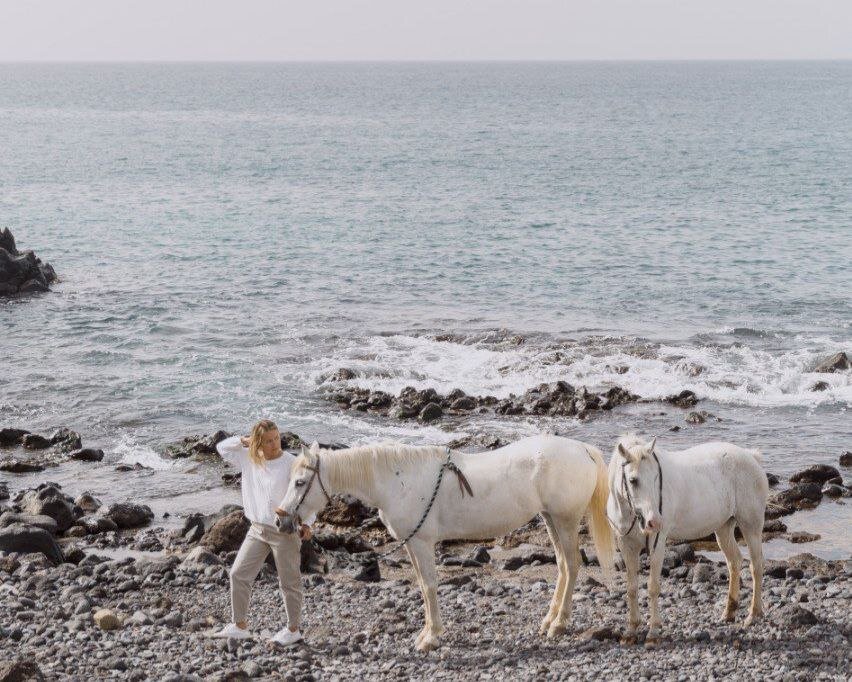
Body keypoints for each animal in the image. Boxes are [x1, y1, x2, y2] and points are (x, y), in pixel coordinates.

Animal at [276, 432, 616, 652]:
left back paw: (559, 624)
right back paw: (549, 621)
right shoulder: (412, 543)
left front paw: (431, 638)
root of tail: (583, 449)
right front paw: (427, 633)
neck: (397, 479)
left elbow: (429, 586)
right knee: (562, 566)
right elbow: (423, 586)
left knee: (572, 565)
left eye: (300, 482)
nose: (281, 519)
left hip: (565, 519)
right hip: (550, 519)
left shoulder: (422, 543)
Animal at [608, 432, 768, 644]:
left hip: (751, 525)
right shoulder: (627, 546)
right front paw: (631, 630)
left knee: (756, 565)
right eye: (633, 480)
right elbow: (632, 588)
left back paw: (753, 615)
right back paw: (728, 613)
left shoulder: (657, 544)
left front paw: (653, 632)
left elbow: (652, 587)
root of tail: (751, 457)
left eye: (656, 478)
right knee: (734, 562)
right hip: (724, 528)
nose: (654, 522)